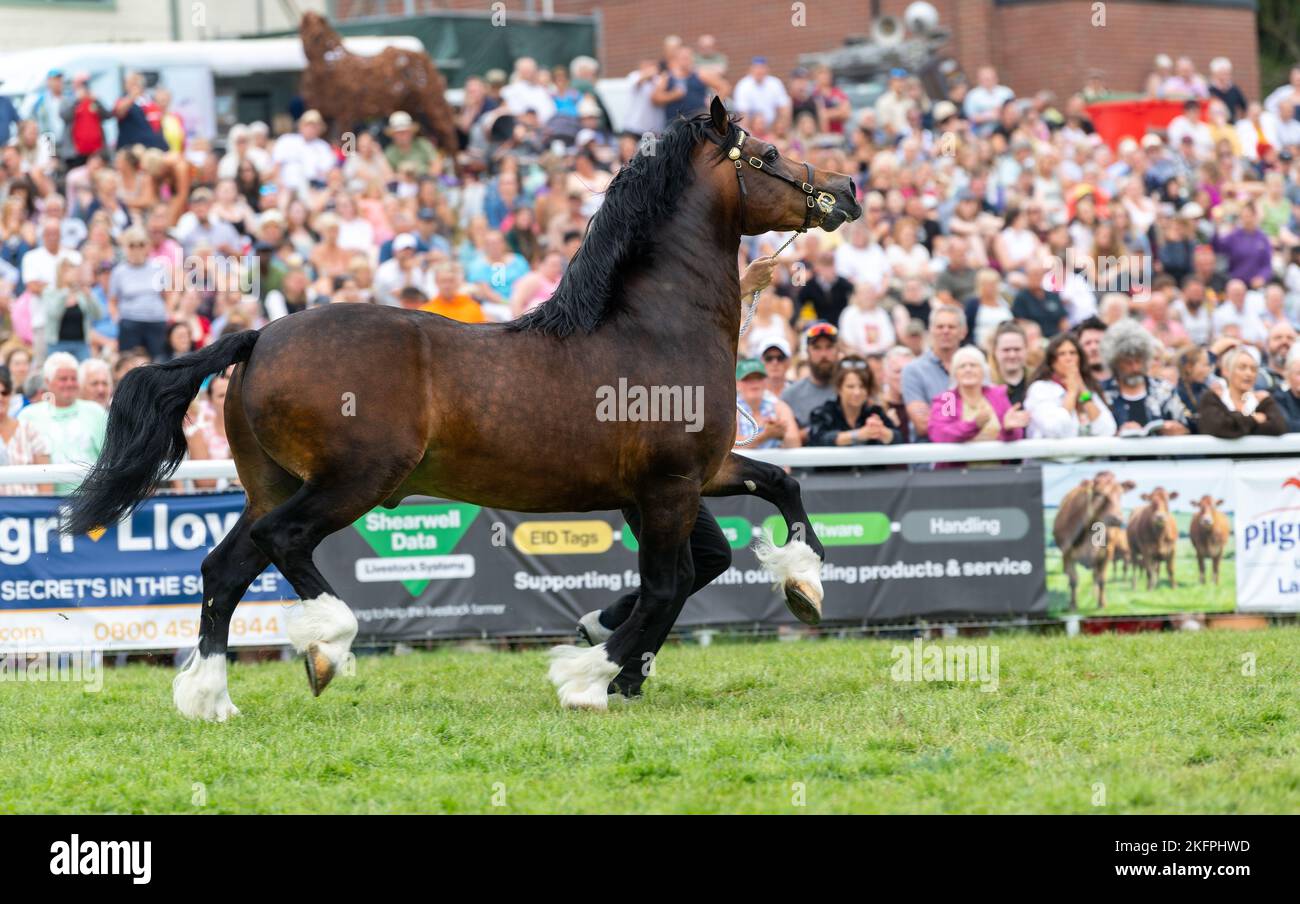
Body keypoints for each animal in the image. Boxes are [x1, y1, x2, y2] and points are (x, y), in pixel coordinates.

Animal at [61, 98, 857, 723]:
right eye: (768, 153)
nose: (846, 189)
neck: (655, 326)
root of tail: (260, 336)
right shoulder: (668, 486)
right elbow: (667, 586)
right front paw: (587, 676)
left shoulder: (692, 476)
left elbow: (771, 496)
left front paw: (801, 585)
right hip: (354, 482)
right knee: (282, 542)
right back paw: (325, 646)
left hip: (271, 484)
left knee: (224, 568)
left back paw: (210, 698)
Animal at [1050, 473, 1133, 608]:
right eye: (1098, 493)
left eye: (1120, 493)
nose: (1117, 518)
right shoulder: (1067, 554)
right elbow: (1073, 580)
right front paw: (1073, 604)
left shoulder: (1107, 554)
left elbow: (1102, 579)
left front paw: (1101, 603)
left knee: (1095, 576)